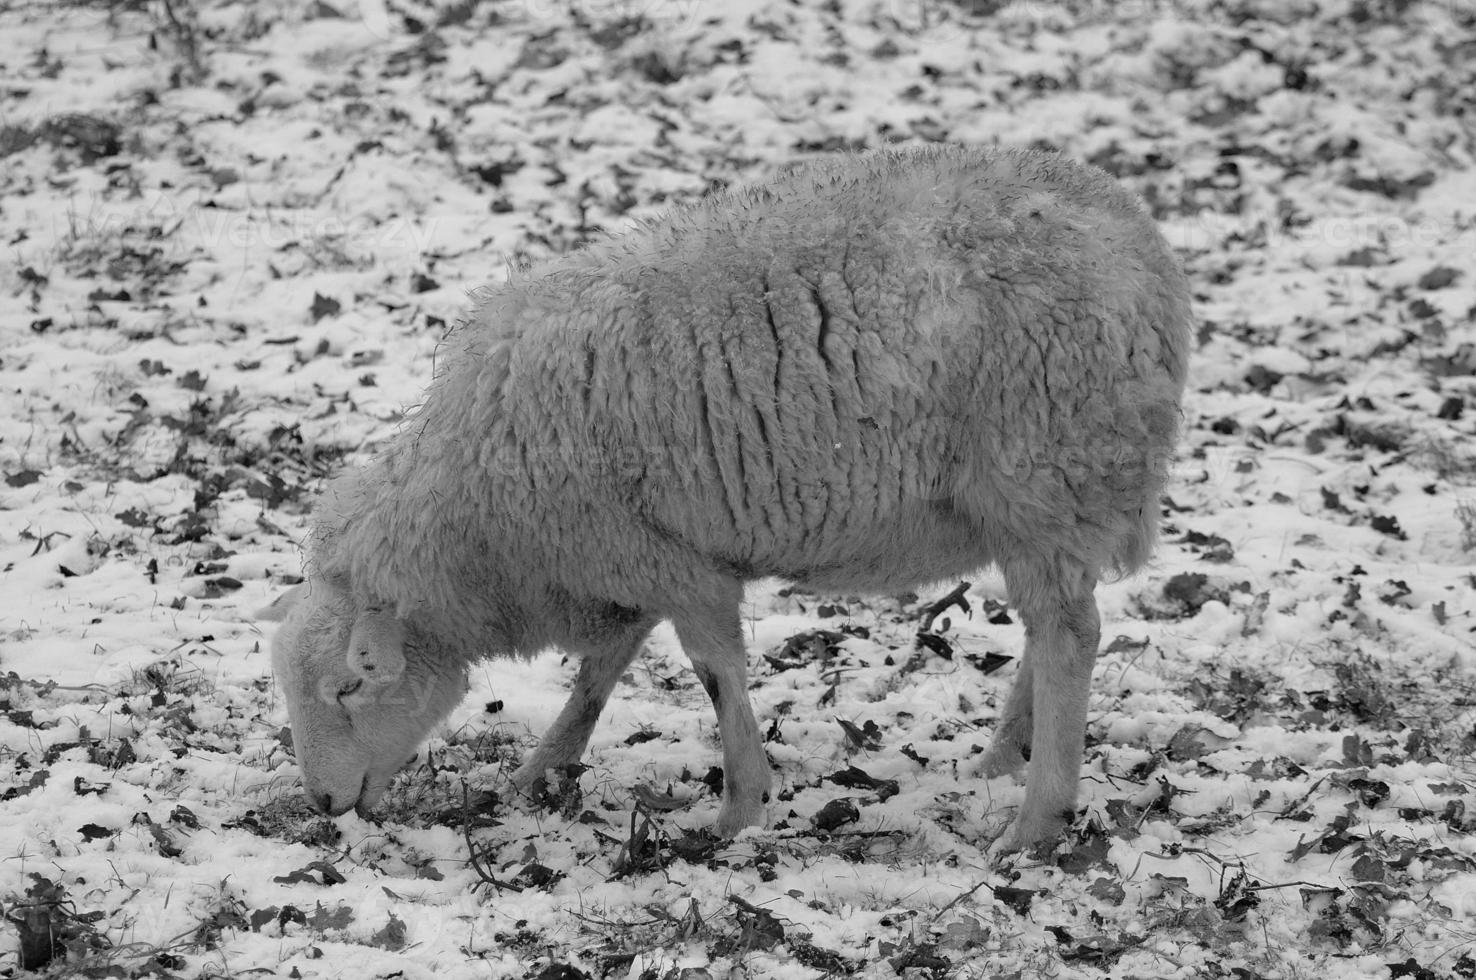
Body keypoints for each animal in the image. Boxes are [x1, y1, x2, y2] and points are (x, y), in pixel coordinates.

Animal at [259, 143, 1192, 850]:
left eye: (347, 690)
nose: (322, 806)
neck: (476, 521)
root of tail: (1146, 255)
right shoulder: (626, 557)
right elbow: (601, 672)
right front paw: (545, 766)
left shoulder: (674, 563)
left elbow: (716, 677)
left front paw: (739, 807)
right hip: (1042, 499)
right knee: (1052, 626)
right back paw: (1005, 756)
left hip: (1045, 469)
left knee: (1071, 636)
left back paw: (1035, 821)